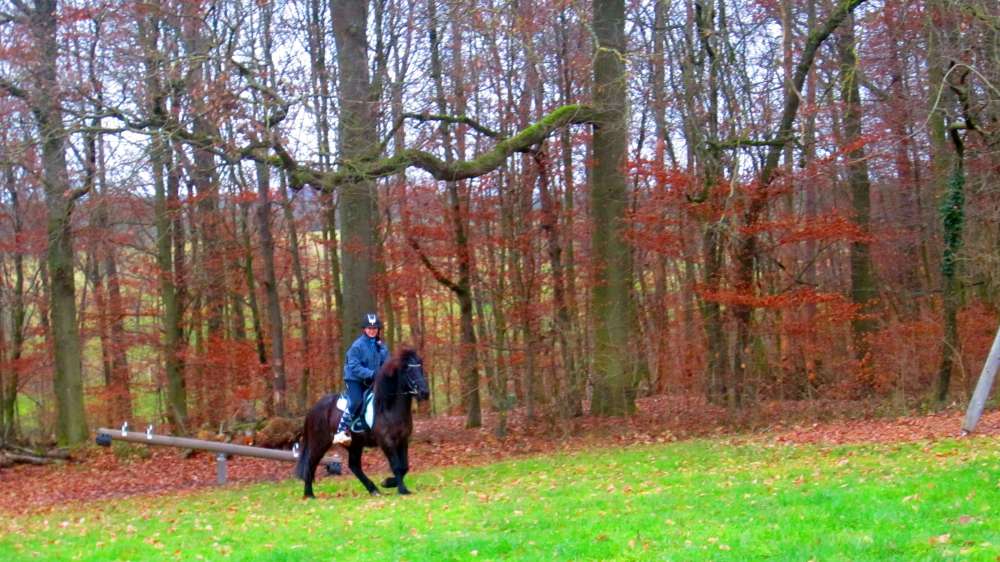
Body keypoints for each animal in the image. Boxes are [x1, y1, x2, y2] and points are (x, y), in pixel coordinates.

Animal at [295, 346, 430, 498]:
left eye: (420, 367)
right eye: (408, 370)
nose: (425, 392)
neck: (389, 408)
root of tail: (313, 409)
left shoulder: (403, 440)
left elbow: (404, 466)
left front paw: (389, 483)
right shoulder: (386, 441)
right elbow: (396, 466)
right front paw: (401, 489)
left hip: (355, 444)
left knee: (354, 466)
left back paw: (373, 489)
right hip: (320, 443)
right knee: (311, 463)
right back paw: (309, 494)